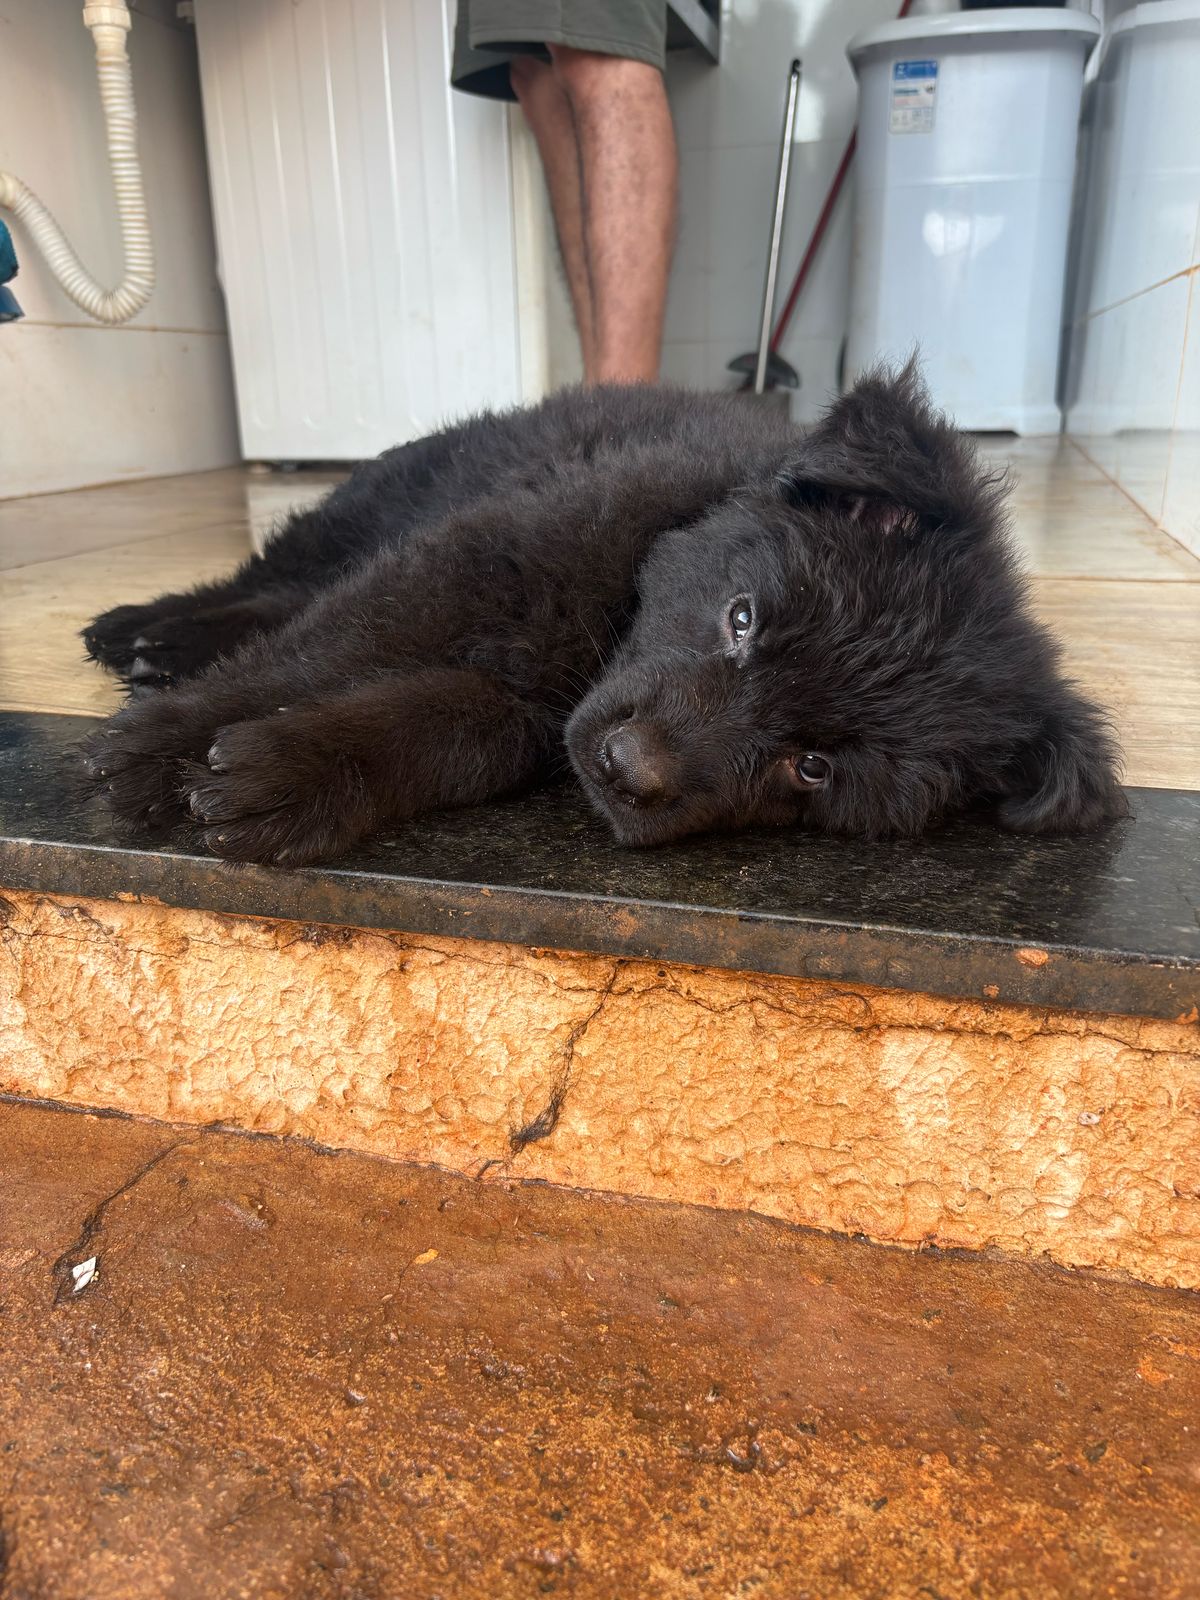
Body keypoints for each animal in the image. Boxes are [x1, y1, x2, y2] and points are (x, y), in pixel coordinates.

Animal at [80, 366, 1126, 864]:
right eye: (742, 619)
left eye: (813, 768)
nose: (626, 770)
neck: (617, 611)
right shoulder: (476, 564)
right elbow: (317, 653)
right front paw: (162, 749)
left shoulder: (521, 711)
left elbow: (436, 732)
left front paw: (289, 780)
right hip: (379, 498)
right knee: (282, 579)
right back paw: (150, 630)